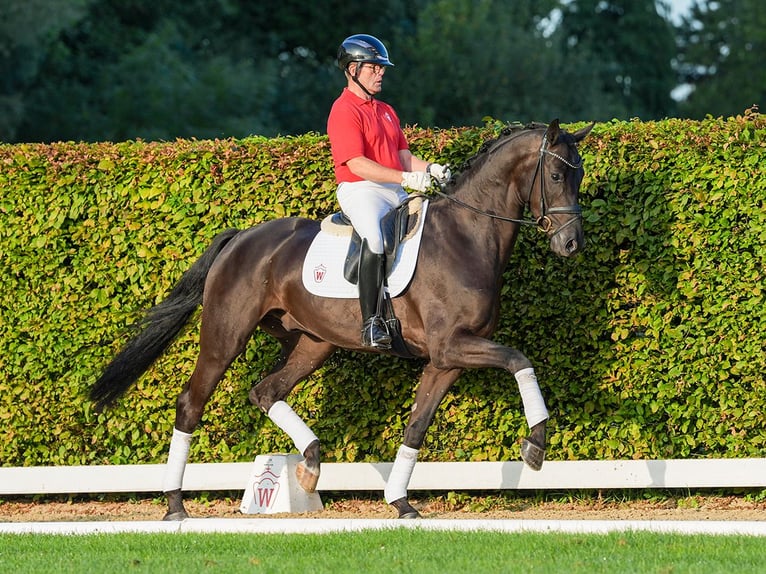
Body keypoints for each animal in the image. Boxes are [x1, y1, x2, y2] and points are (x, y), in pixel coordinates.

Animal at [90, 120, 592, 520]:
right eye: (554, 175)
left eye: (580, 174)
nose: (571, 245)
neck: (467, 235)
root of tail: (241, 238)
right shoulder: (453, 345)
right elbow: (519, 359)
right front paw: (536, 445)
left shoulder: (445, 360)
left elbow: (417, 425)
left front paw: (400, 503)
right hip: (224, 337)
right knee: (191, 404)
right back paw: (175, 504)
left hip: (313, 343)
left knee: (265, 391)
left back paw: (311, 464)